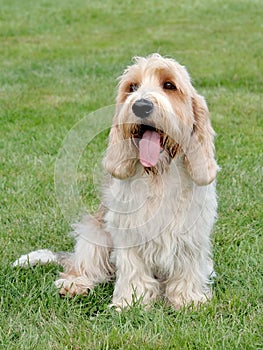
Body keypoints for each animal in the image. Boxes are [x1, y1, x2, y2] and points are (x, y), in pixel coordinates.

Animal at [14, 54, 221, 308]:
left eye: (169, 85)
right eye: (132, 87)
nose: (141, 106)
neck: (159, 176)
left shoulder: (191, 233)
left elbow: (187, 268)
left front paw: (188, 300)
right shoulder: (128, 231)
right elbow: (133, 269)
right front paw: (131, 302)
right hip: (94, 234)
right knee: (81, 266)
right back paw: (74, 285)